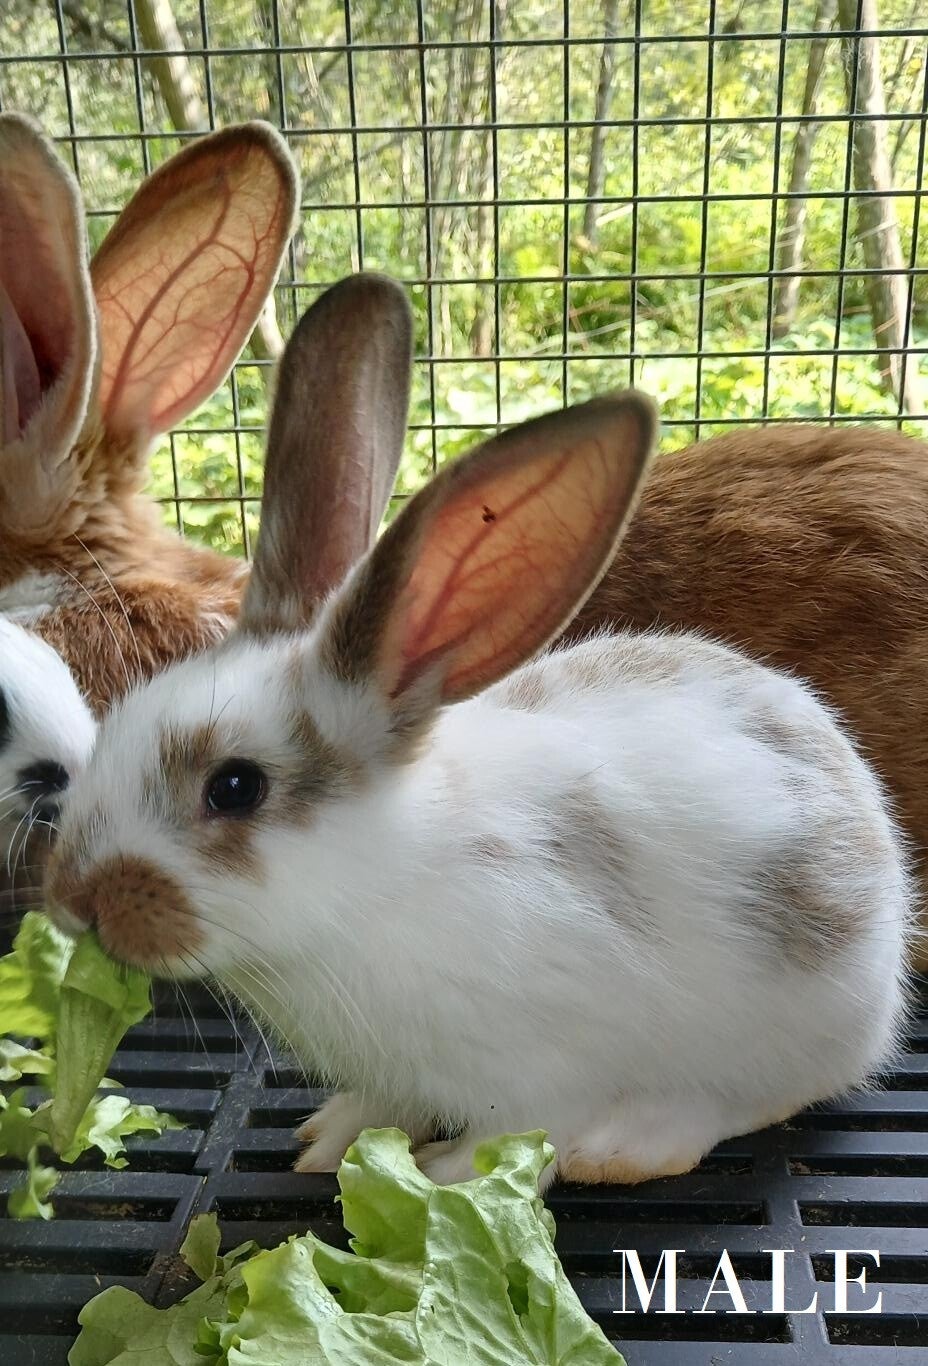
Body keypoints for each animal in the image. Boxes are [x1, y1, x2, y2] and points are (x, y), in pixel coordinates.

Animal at [45, 381, 913, 1191]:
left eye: (234, 787)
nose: (75, 898)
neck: (379, 889)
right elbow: (382, 1106)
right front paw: (333, 1140)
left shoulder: (544, 1067)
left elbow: (528, 1129)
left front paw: (448, 1174)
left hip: (801, 1019)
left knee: (754, 1098)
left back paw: (631, 1147)